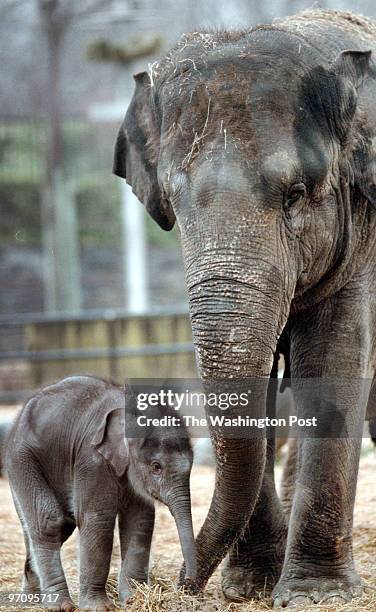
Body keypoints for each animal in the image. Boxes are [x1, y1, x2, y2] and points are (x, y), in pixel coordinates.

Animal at [6, 376, 197, 608]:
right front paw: (99, 607)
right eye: (156, 467)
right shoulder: (91, 459)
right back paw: (59, 606)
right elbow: (98, 520)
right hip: (21, 459)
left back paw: (30, 600)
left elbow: (140, 520)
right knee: (51, 522)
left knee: (44, 527)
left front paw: (133, 599)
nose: (188, 582)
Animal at [114, 9, 376, 608]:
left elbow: (334, 359)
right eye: (174, 203)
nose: (181, 584)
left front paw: (315, 595)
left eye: (295, 195)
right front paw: (250, 587)